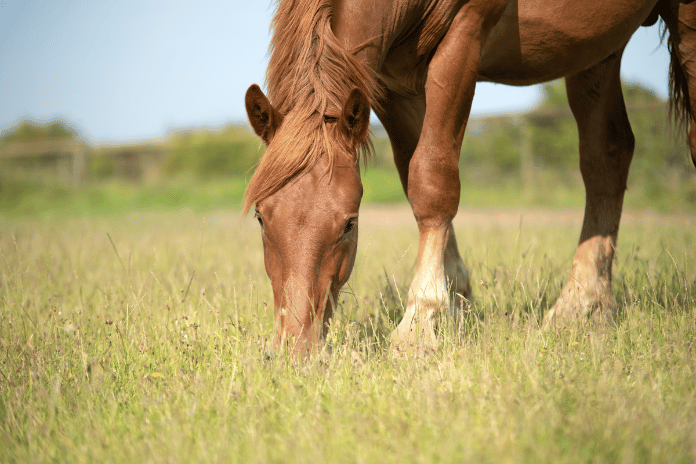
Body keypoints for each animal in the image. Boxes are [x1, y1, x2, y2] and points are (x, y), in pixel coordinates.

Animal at [243, 0, 696, 358]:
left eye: (349, 225)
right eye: (262, 219)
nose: (294, 349)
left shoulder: (464, 36)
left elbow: (432, 180)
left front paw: (420, 321)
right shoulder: (389, 83)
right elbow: (413, 174)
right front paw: (456, 303)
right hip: (596, 51)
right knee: (607, 156)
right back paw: (582, 304)